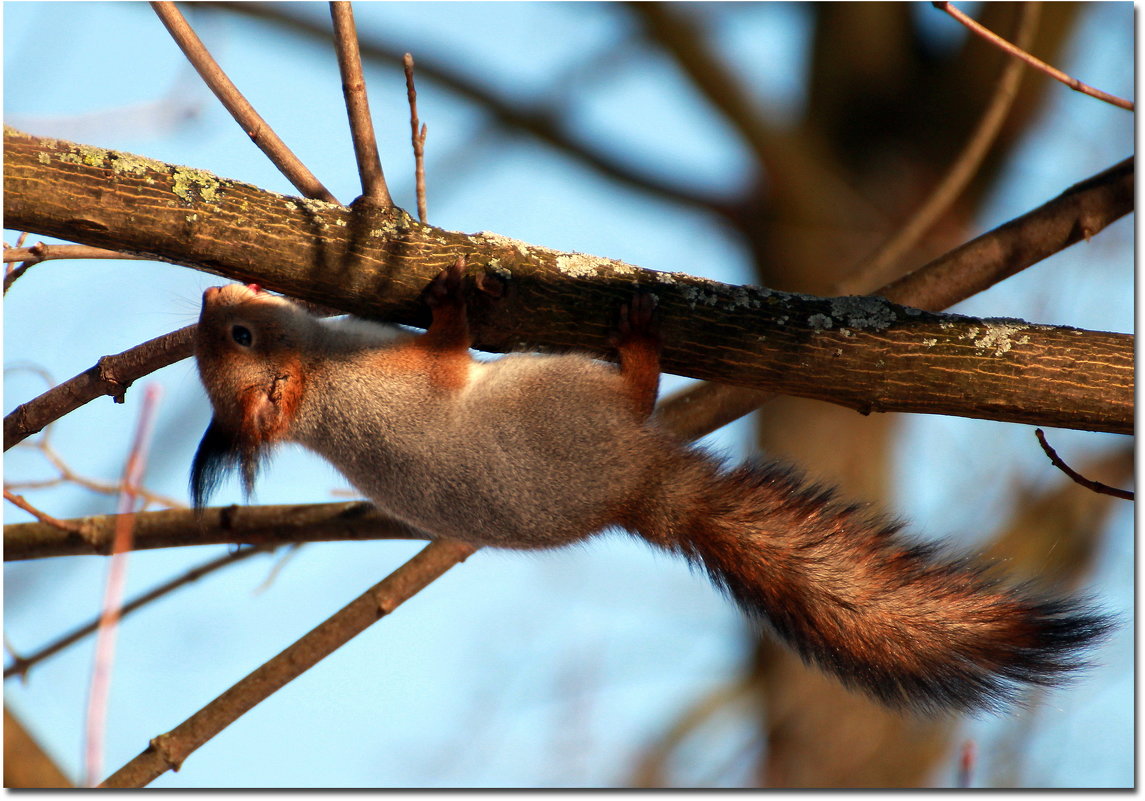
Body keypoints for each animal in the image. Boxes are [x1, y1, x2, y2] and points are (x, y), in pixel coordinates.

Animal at [192, 256, 1112, 714]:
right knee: (636, 392)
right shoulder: (408, 384)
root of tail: (641, 487)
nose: (210, 292)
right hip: (569, 395)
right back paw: (638, 345)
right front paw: (451, 304)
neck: (323, 379)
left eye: (232, 333)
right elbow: (449, 354)